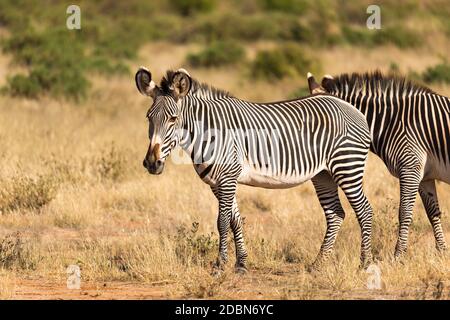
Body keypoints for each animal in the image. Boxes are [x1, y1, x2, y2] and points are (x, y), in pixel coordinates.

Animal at [135, 66, 374, 272]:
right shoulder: (217, 183)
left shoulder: (228, 177)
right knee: (335, 214)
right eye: (148, 117)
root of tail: (353, 109)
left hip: (347, 166)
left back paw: (365, 264)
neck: (207, 133)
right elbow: (235, 220)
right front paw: (241, 263)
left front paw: (220, 265)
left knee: (364, 211)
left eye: (173, 119)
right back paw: (318, 264)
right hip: (323, 174)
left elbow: (222, 222)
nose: (152, 163)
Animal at [306, 70, 450, 258]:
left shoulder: (410, 167)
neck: (392, 122)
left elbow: (404, 212)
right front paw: (442, 252)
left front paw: (398, 256)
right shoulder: (424, 176)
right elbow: (433, 213)